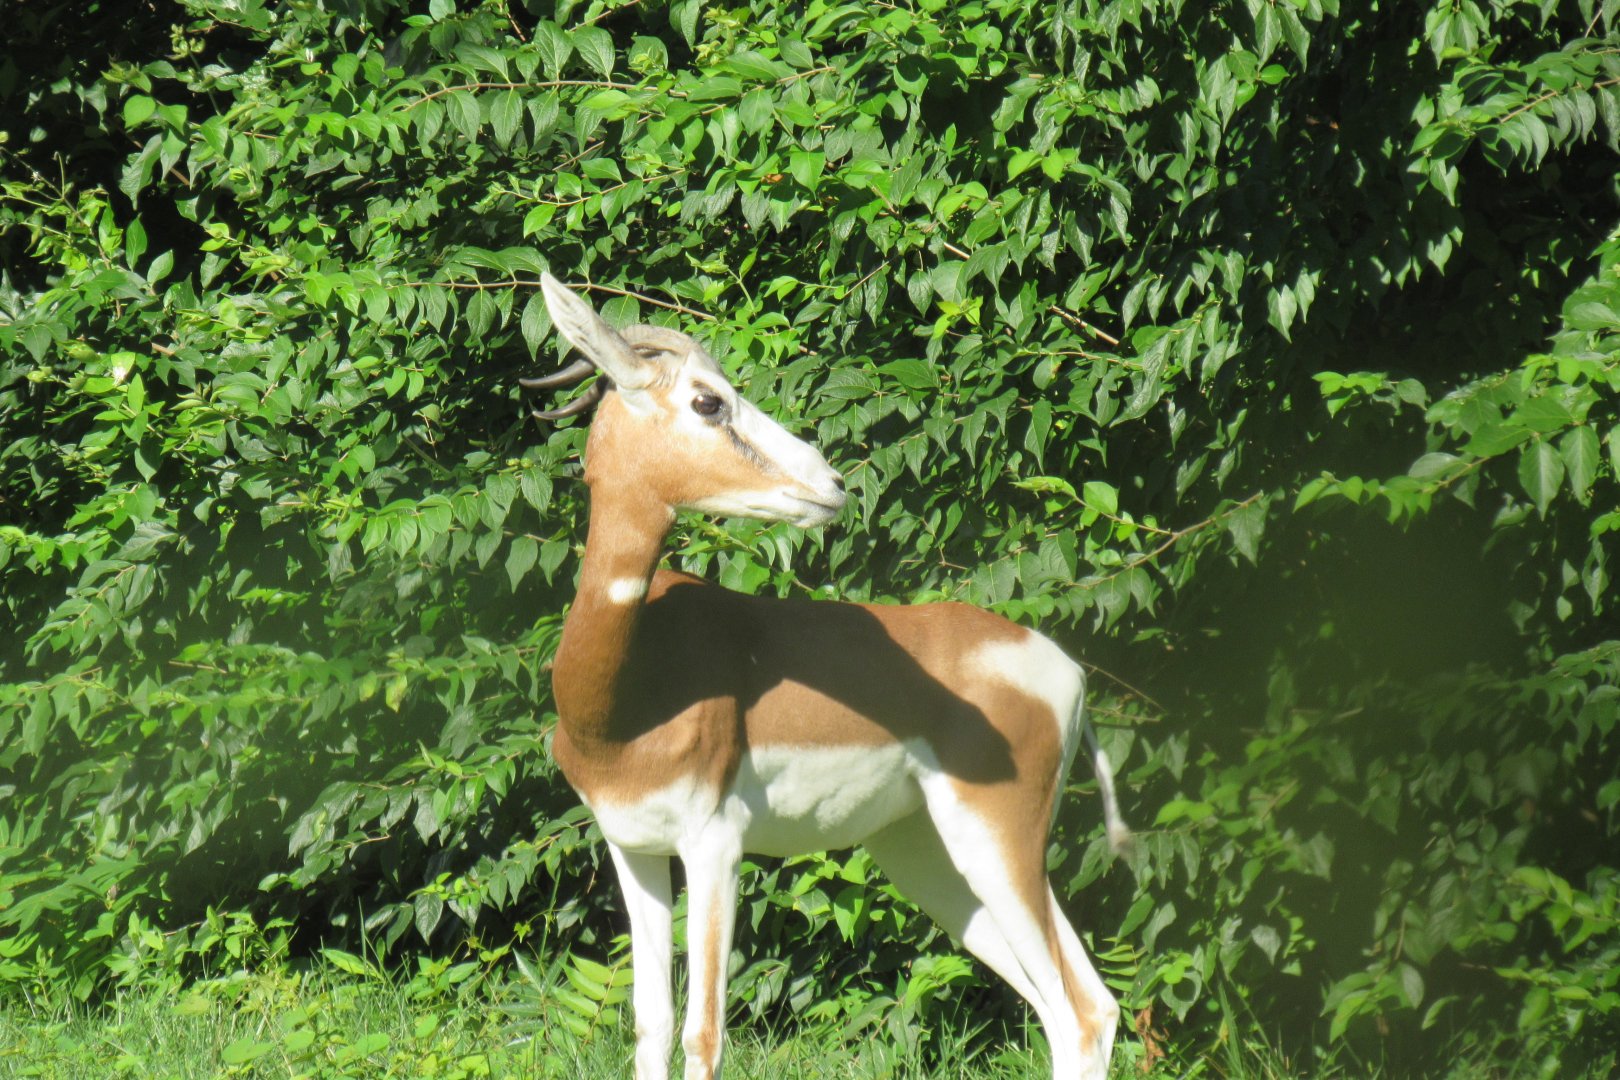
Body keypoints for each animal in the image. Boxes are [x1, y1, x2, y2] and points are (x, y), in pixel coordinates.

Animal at [525, 273, 1130, 1080]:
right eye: (708, 400)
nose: (834, 484)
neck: (630, 694)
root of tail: (1063, 667)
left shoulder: (715, 846)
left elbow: (703, 1034)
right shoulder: (634, 849)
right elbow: (651, 1025)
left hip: (996, 844)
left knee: (1078, 1016)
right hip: (928, 854)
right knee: (1083, 1009)